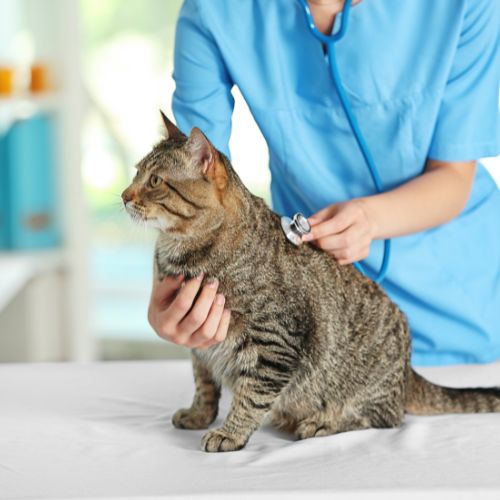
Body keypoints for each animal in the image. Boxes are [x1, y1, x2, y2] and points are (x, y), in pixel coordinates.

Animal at [121, 113, 500, 454]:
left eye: (154, 180)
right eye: (136, 171)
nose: (124, 195)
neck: (179, 252)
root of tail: (409, 372)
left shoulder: (275, 342)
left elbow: (251, 397)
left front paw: (230, 432)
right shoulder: (200, 343)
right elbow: (204, 384)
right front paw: (199, 414)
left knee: (384, 418)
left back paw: (321, 422)